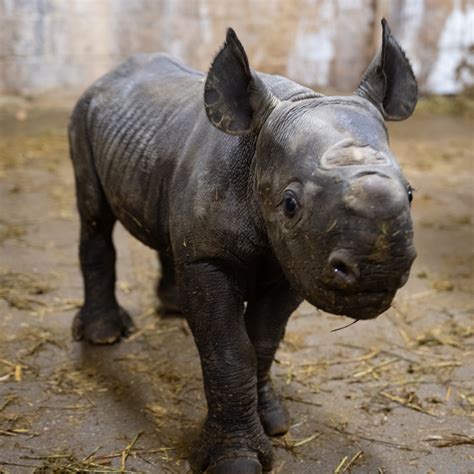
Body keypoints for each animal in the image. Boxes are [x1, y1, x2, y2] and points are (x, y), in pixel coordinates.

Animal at [68, 19, 416, 474]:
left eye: (410, 194)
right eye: (290, 204)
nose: (379, 272)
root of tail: (107, 76)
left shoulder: (294, 264)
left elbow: (263, 340)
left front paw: (274, 422)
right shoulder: (212, 260)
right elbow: (230, 350)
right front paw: (235, 460)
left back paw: (172, 306)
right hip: (82, 113)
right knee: (95, 217)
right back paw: (104, 336)